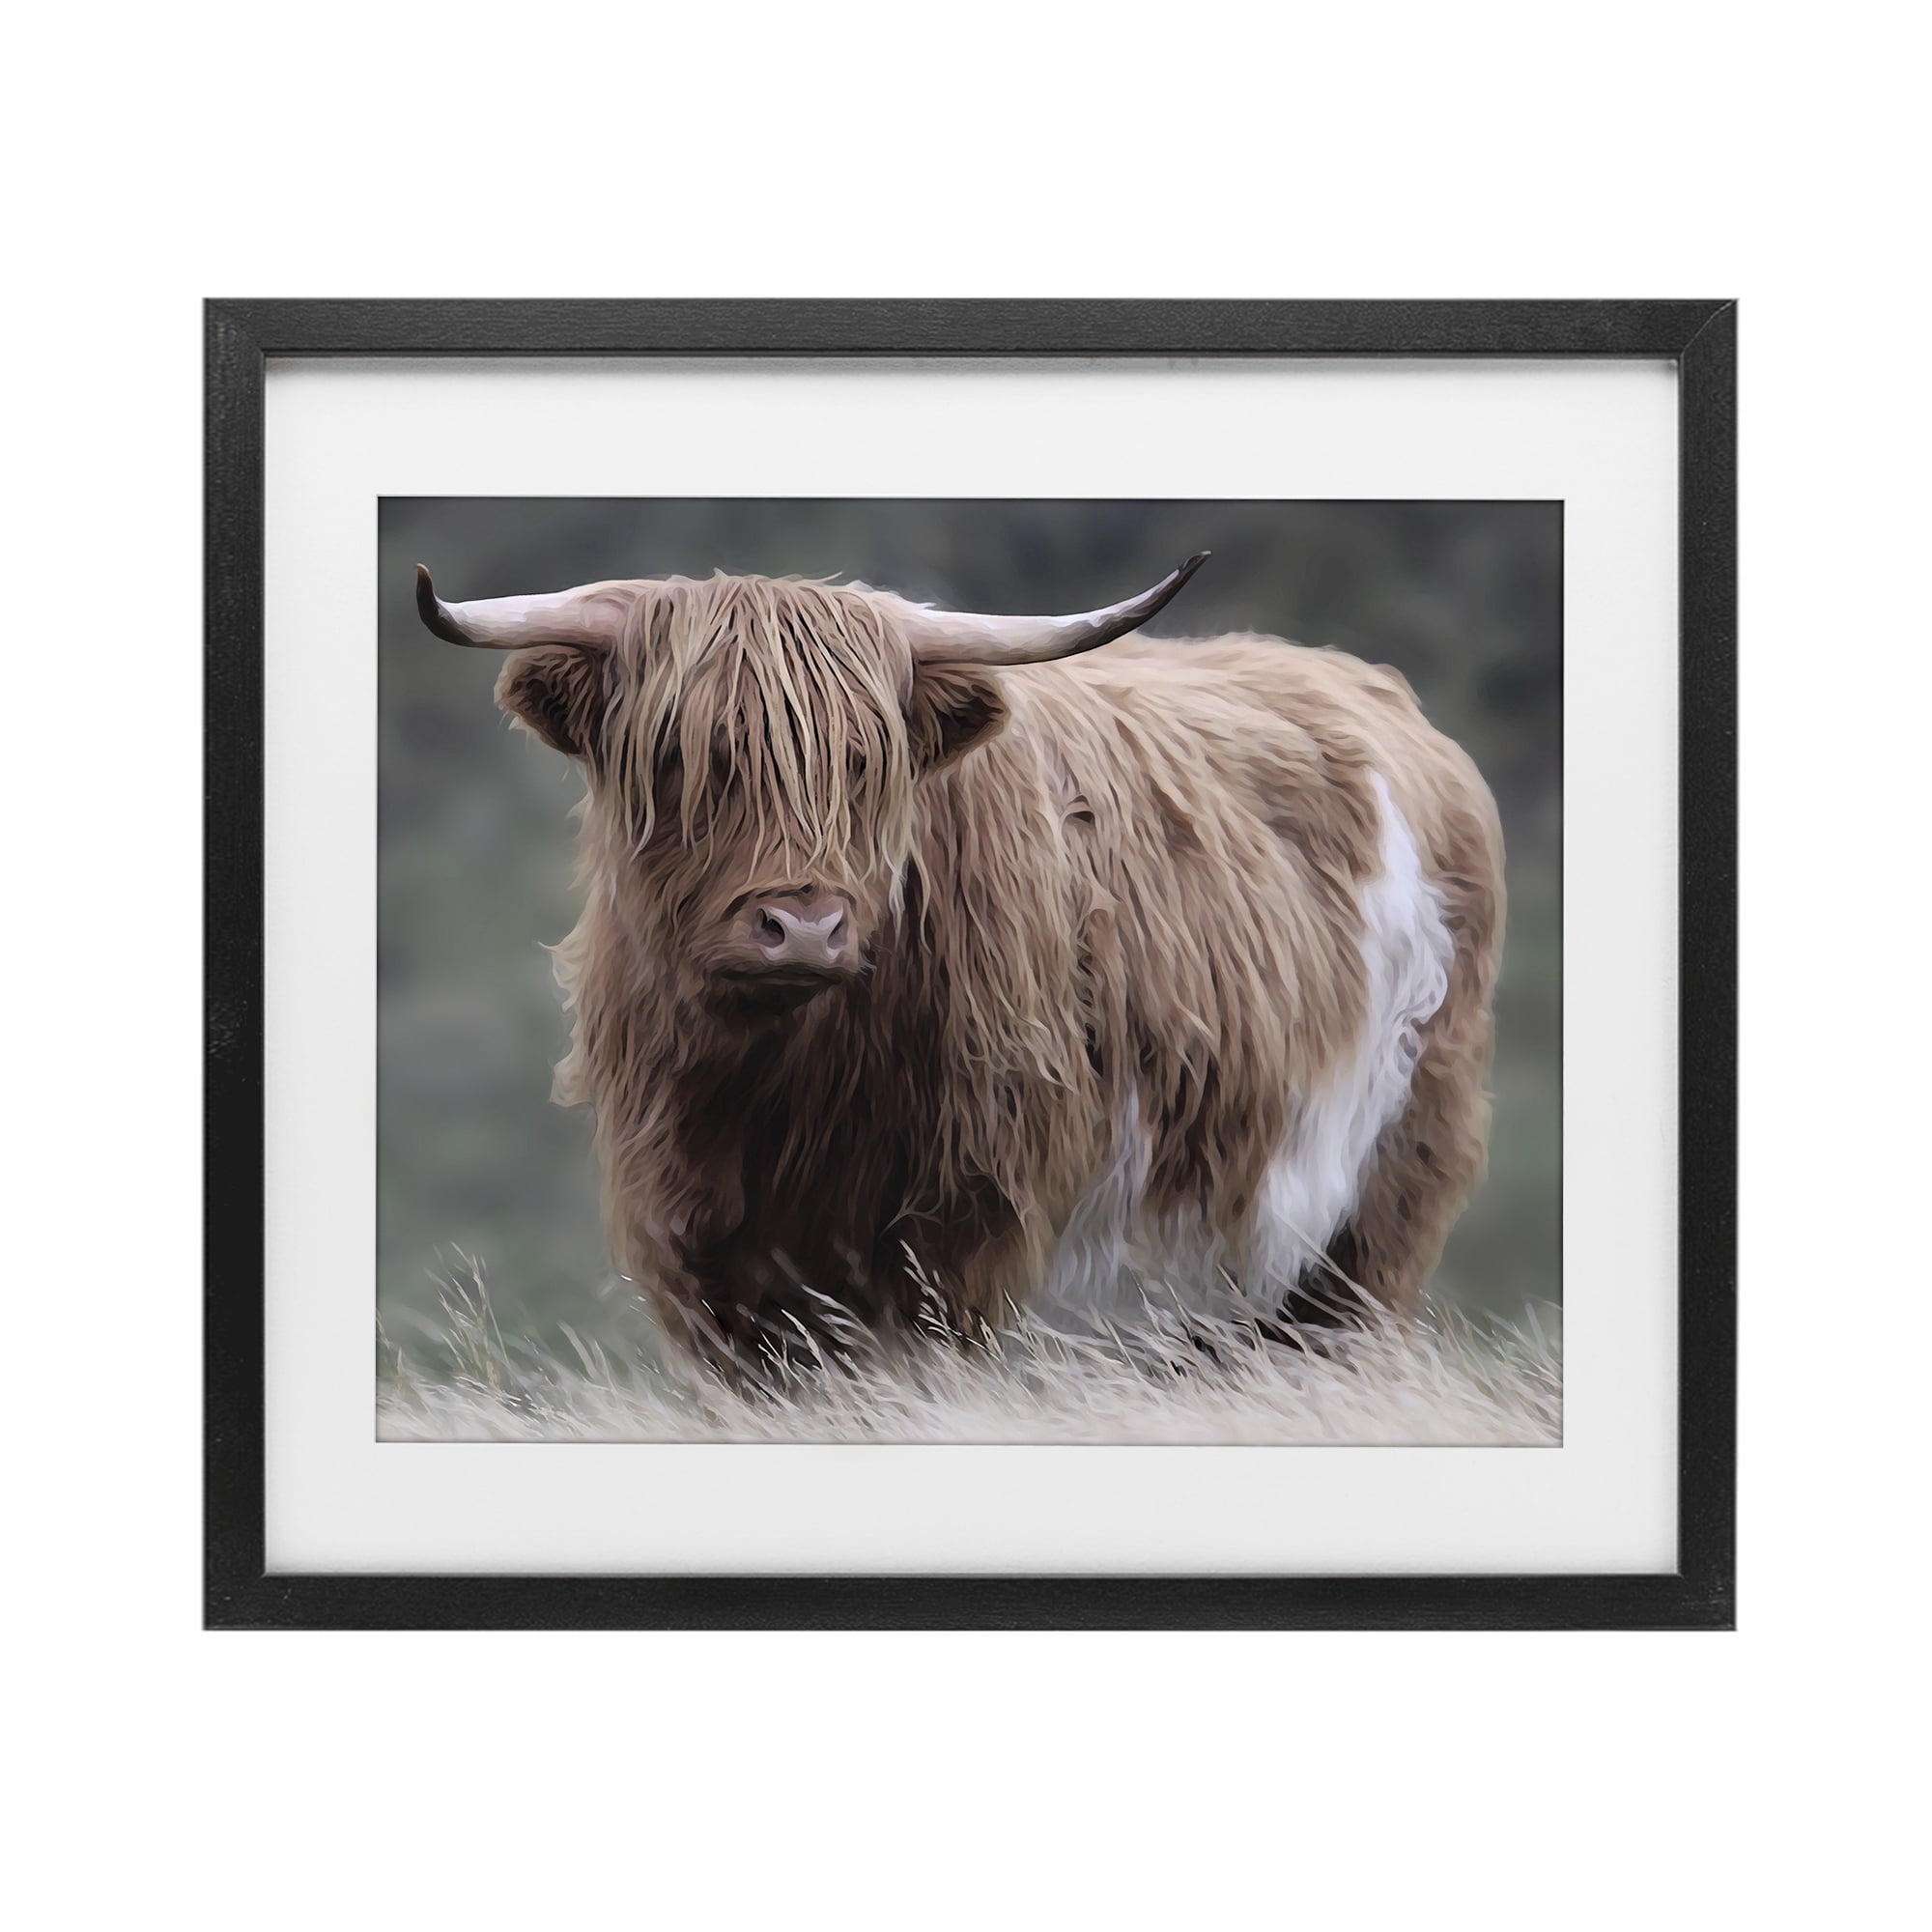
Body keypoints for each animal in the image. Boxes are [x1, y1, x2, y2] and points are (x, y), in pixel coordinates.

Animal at [415, 556, 1505, 1379]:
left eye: (866, 761)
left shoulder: (957, 1236)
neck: (778, 1088)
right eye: (687, 754)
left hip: (1375, 1205)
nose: (802, 926)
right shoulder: (704, 1252)